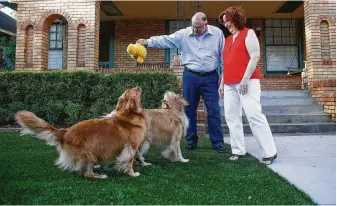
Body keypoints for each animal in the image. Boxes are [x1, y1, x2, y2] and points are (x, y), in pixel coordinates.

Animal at [15, 86, 146, 179]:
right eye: (135, 91)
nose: (139, 86)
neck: (127, 115)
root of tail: (65, 131)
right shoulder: (131, 147)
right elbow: (129, 162)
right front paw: (132, 173)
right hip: (88, 153)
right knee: (85, 173)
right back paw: (99, 175)